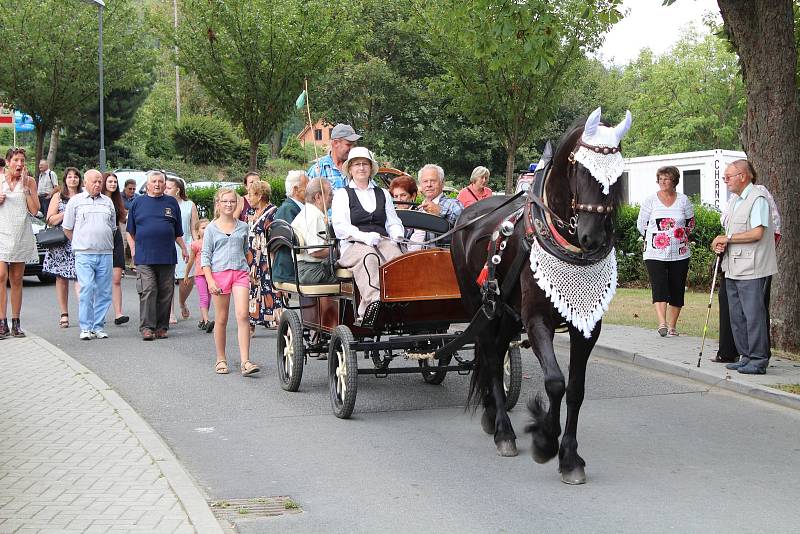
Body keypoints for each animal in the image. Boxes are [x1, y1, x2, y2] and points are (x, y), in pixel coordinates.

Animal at [454, 109, 628, 486]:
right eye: (582, 169)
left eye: (619, 173)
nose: (593, 237)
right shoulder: (536, 321)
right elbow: (554, 382)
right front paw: (545, 440)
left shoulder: (588, 326)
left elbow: (575, 389)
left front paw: (570, 457)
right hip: (481, 307)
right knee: (491, 358)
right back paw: (504, 432)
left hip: (505, 312)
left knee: (497, 353)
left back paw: (492, 414)